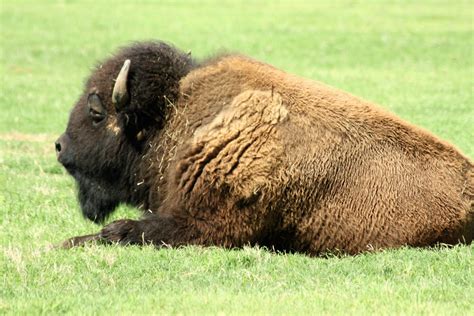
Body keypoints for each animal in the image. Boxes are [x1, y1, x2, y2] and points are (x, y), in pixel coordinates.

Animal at [56, 41, 474, 254]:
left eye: (96, 113)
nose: (60, 147)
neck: (174, 116)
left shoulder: (203, 224)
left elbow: (120, 230)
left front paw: (65, 243)